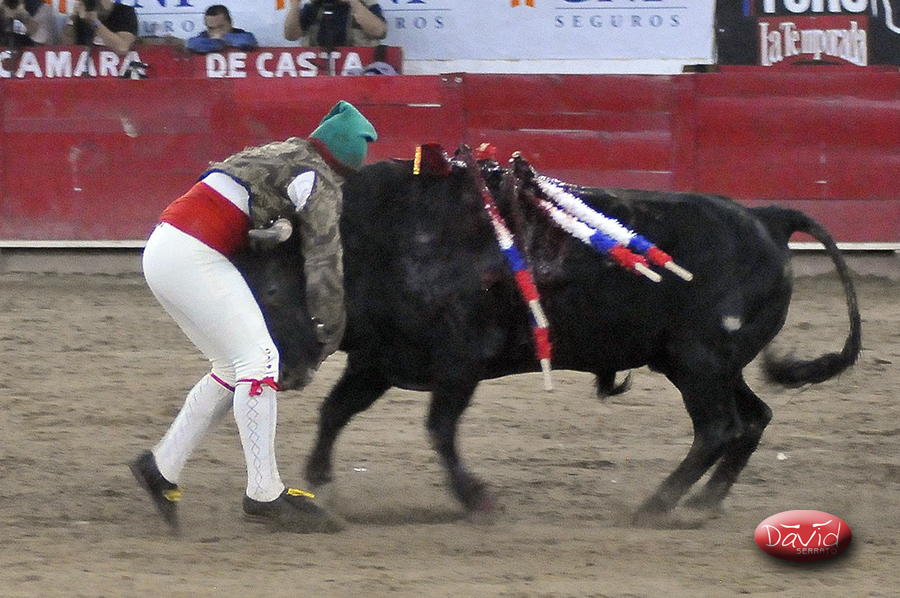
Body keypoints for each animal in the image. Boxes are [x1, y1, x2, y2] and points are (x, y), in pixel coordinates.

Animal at [231, 145, 860, 526]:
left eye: (271, 290)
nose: (284, 372)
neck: (382, 239)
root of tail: (768, 218)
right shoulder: (380, 360)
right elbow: (336, 412)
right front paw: (324, 485)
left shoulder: (459, 361)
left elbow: (438, 429)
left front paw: (477, 498)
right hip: (705, 363)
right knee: (752, 419)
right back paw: (702, 505)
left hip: (698, 362)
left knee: (717, 428)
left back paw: (655, 506)